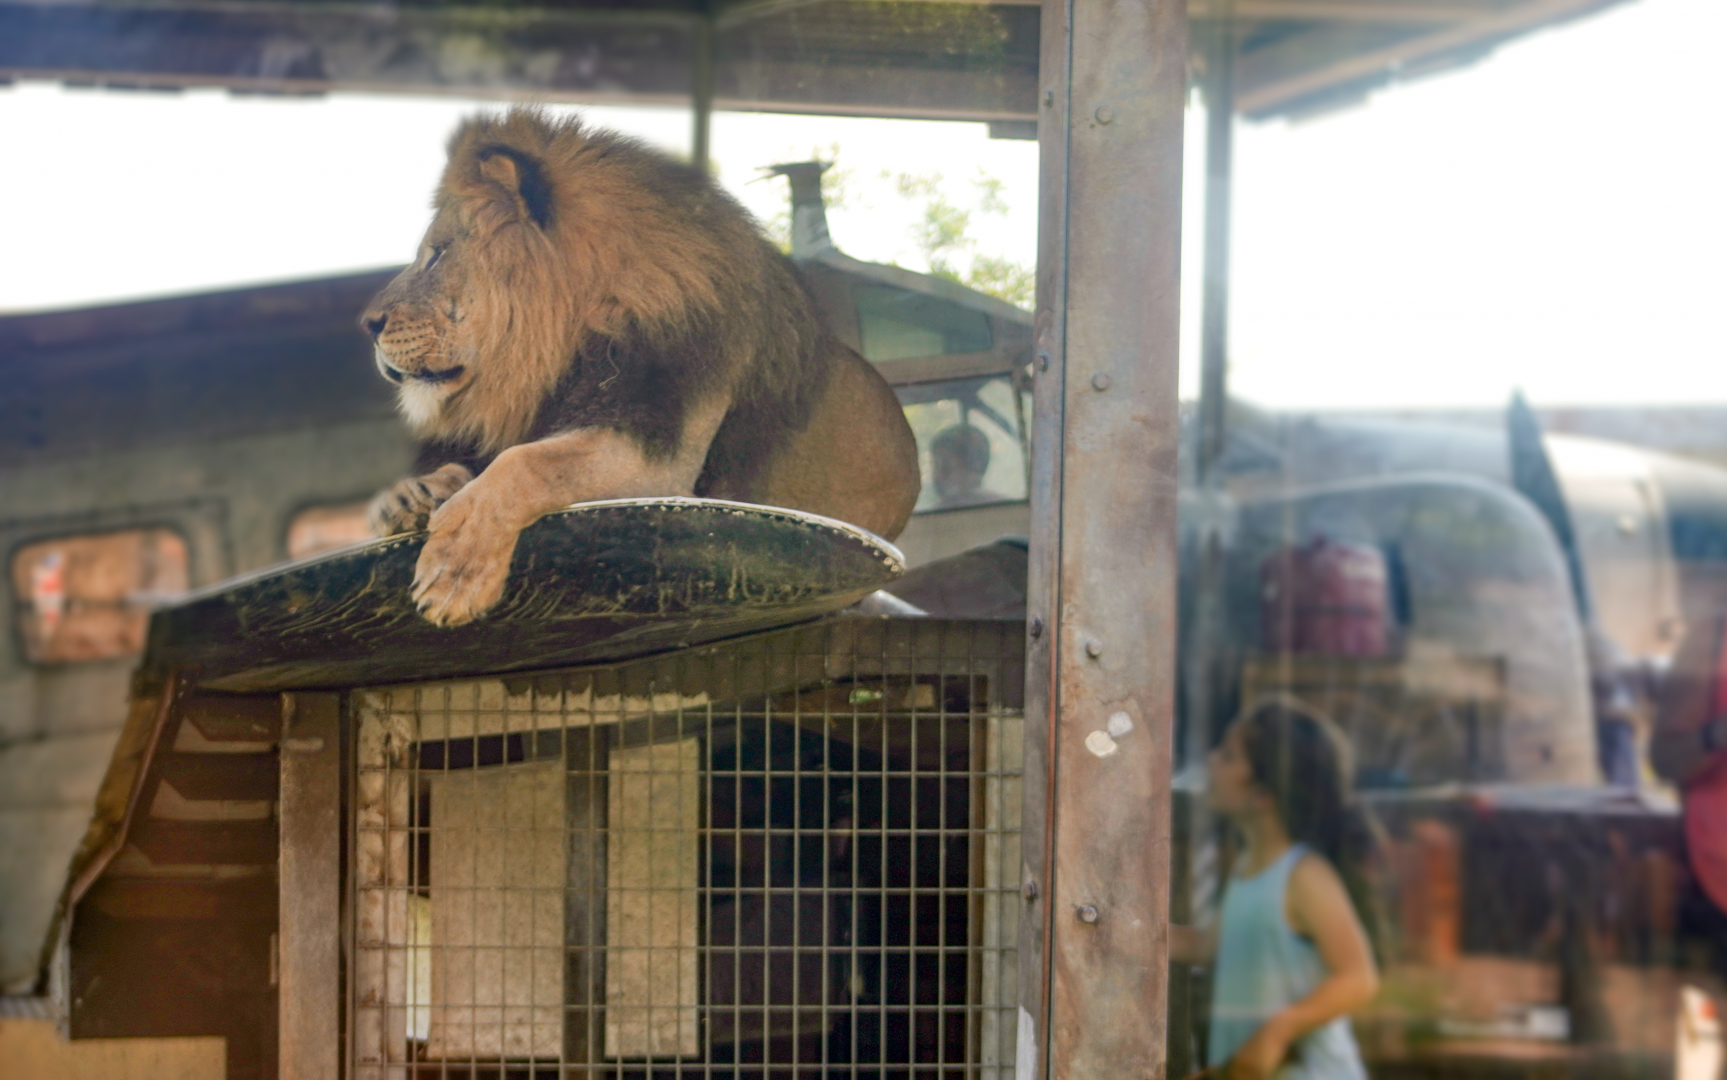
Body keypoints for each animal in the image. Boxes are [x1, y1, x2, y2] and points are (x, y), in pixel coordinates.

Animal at [360, 108, 920, 627]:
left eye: (438, 254)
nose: (367, 323)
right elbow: (488, 463)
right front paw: (406, 497)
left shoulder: (657, 461)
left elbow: (522, 464)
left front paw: (454, 573)